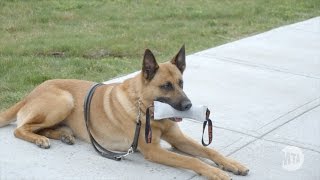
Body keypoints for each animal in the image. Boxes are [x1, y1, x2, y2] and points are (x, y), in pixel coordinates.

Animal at [0, 45, 249, 179]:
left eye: (181, 83)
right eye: (166, 86)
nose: (188, 105)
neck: (144, 107)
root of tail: (31, 92)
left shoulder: (178, 140)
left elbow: (210, 151)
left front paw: (231, 164)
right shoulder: (154, 151)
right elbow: (192, 161)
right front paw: (215, 172)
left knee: (39, 127)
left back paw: (63, 135)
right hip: (64, 101)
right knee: (20, 129)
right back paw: (40, 139)